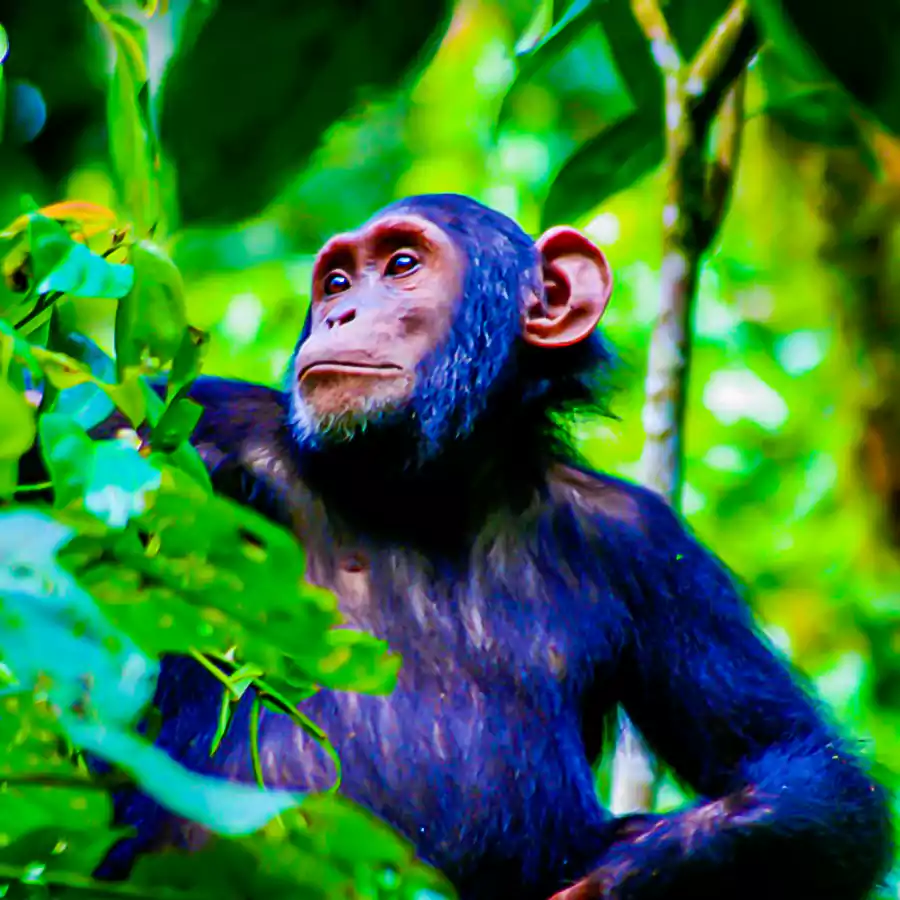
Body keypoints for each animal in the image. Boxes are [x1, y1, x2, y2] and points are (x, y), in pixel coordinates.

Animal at [82, 197, 884, 900]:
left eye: (402, 264)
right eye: (336, 281)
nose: (340, 313)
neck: (428, 488)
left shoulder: (650, 547)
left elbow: (804, 770)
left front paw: (614, 875)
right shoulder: (190, 428)